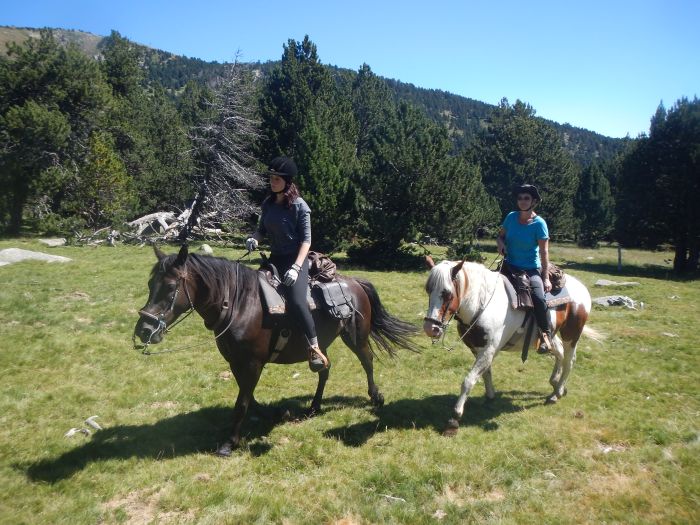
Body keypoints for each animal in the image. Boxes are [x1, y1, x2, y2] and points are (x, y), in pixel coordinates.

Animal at [134, 246, 418, 454]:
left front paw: (230, 442)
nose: (144, 330)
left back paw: (375, 397)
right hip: (321, 344)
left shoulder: (252, 363)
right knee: (324, 370)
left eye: (171, 288)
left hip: (356, 337)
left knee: (367, 361)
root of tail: (356, 282)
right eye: (149, 285)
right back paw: (314, 406)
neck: (239, 303)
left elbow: (242, 401)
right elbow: (248, 397)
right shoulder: (235, 361)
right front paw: (274, 413)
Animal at [422, 255, 596, 434]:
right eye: (428, 290)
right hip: (551, 334)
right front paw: (490, 397)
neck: (482, 304)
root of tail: (582, 288)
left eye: (447, 294)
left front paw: (454, 419)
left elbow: (468, 381)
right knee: (559, 352)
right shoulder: (480, 350)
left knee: (569, 360)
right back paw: (556, 383)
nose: (430, 328)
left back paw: (558, 392)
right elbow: (486, 373)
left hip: (572, 334)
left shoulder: (488, 350)